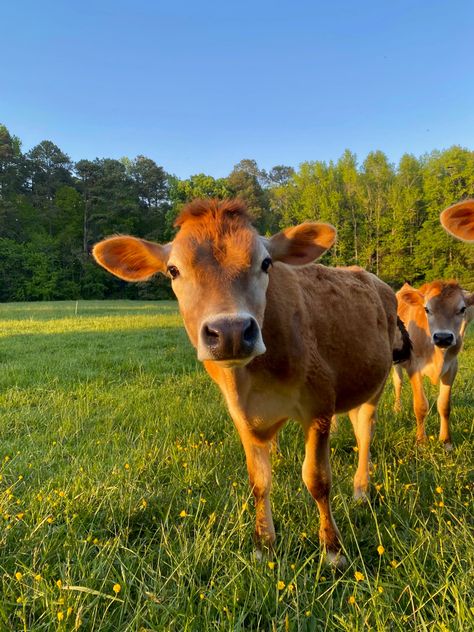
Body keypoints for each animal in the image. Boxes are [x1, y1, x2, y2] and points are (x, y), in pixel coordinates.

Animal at [93, 200, 412, 564]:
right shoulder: (241, 415)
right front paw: (263, 546)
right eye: (173, 270)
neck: (254, 381)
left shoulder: (318, 402)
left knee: (365, 433)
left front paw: (332, 550)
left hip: (377, 383)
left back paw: (361, 489)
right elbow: (259, 480)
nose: (230, 331)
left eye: (266, 262)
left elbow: (317, 479)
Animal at [392, 278, 474, 446]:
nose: (443, 337)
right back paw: (397, 409)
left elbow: (444, 405)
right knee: (398, 382)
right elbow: (421, 405)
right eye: (427, 309)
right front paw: (421, 441)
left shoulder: (452, 368)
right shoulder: (413, 367)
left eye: (462, 309)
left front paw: (446, 441)